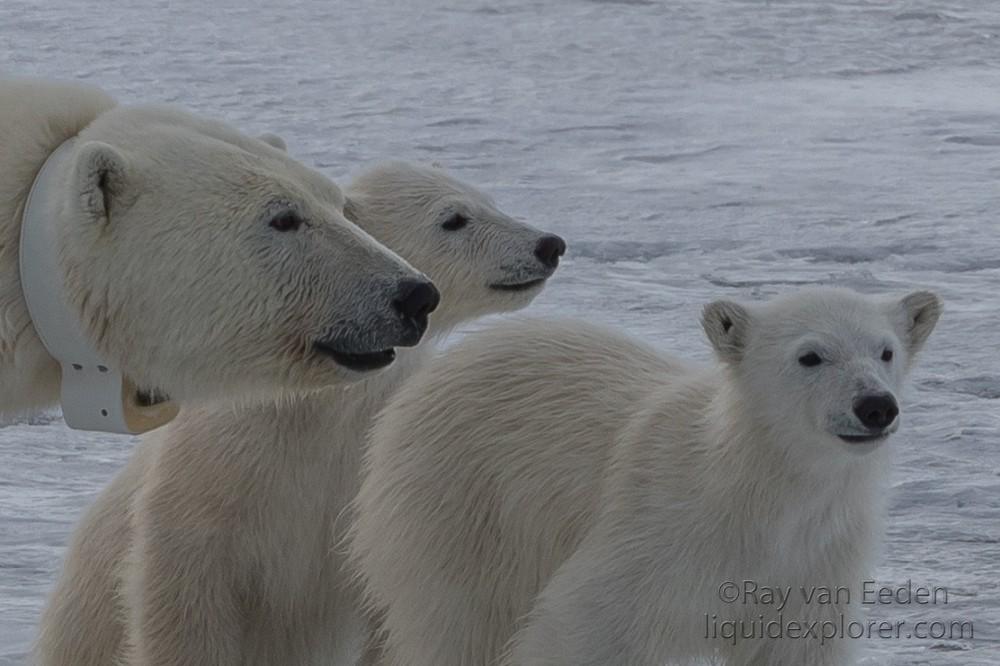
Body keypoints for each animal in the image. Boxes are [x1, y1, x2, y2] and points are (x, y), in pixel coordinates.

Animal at [33, 161, 564, 664]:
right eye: (454, 218)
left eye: (489, 200)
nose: (550, 244)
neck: (313, 408)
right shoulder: (219, 472)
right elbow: (183, 584)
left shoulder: (367, 468)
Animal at [348, 286, 940, 664]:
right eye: (811, 356)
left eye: (886, 351)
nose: (875, 406)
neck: (757, 492)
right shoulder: (659, 533)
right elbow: (585, 628)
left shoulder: (814, 559)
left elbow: (794, 645)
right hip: (461, 509)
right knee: (458, 624)